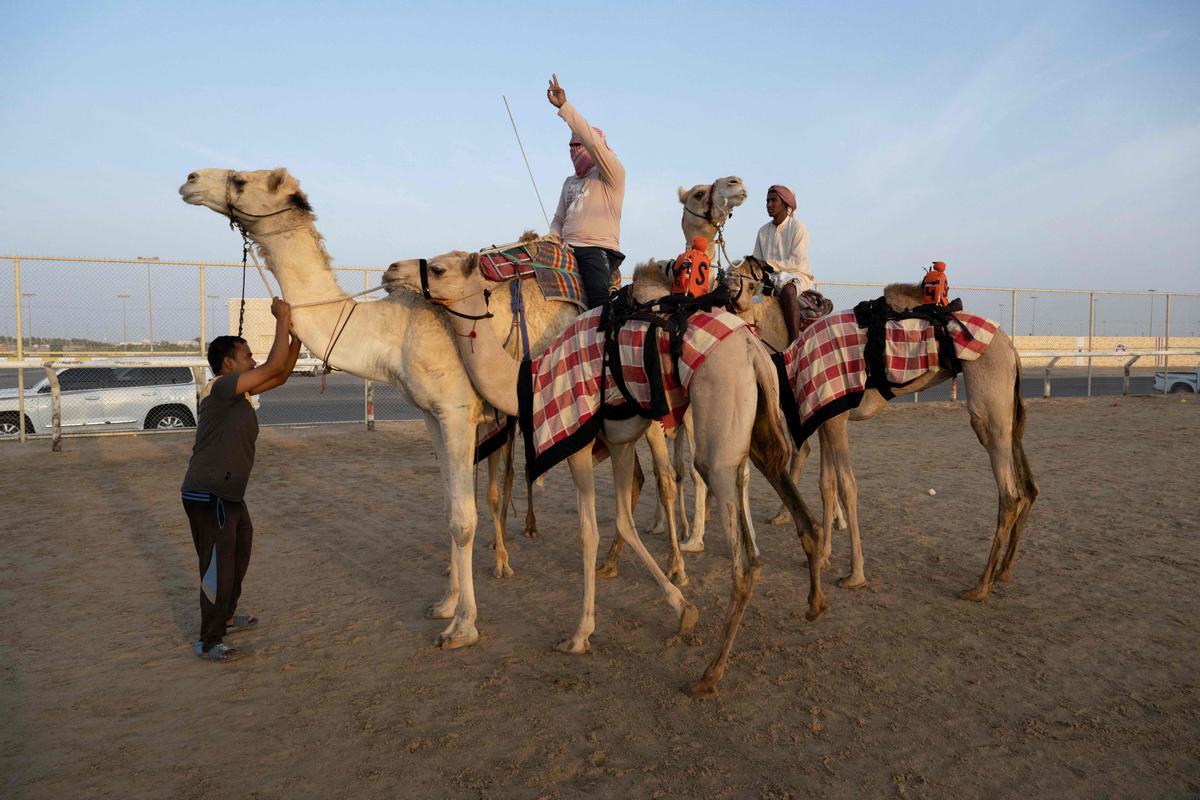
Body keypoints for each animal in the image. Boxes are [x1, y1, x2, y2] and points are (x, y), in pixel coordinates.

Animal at [384, 253, 825, 695]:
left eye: (438, 269)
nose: (391, 271)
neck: (528, 381)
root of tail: (752, 349)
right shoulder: (620, 442)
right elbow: (625, 522)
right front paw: (682, 610)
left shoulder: (578, 442)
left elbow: (589, 533)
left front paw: (579, 635)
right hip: (758, 427)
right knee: (800, 513)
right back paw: (814, 603)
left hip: (718, 424)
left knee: (741, 553)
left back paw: (709, 674)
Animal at [720, 256, 1041, 599]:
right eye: (728, 275)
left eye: (748, 279)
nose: (724, 288)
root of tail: (1011, 348)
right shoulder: (827, 417)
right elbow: (826, 485)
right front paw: (824, 557)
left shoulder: (834, 418)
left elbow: (847, 486)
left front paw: (855, 574)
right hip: (1009, 407)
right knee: (1027, 485)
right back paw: (1003, 572)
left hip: (988, 402)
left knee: (1009, 493)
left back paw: (980, 586)